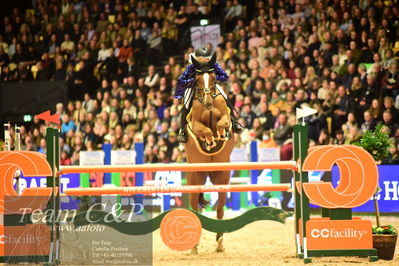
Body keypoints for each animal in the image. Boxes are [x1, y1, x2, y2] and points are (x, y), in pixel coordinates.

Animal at [186, 54, 236, 254]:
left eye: (214, 77)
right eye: (198, 78)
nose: (207, 102)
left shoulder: (224, 116)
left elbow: (223, 123)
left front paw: (221, 135)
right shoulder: (195, 124)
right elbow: (204, 130)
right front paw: (210, 141)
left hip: (221, 177)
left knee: (220, 209)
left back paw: (220, 242)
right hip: (195, 178)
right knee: (194, 207)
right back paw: (194, 246)